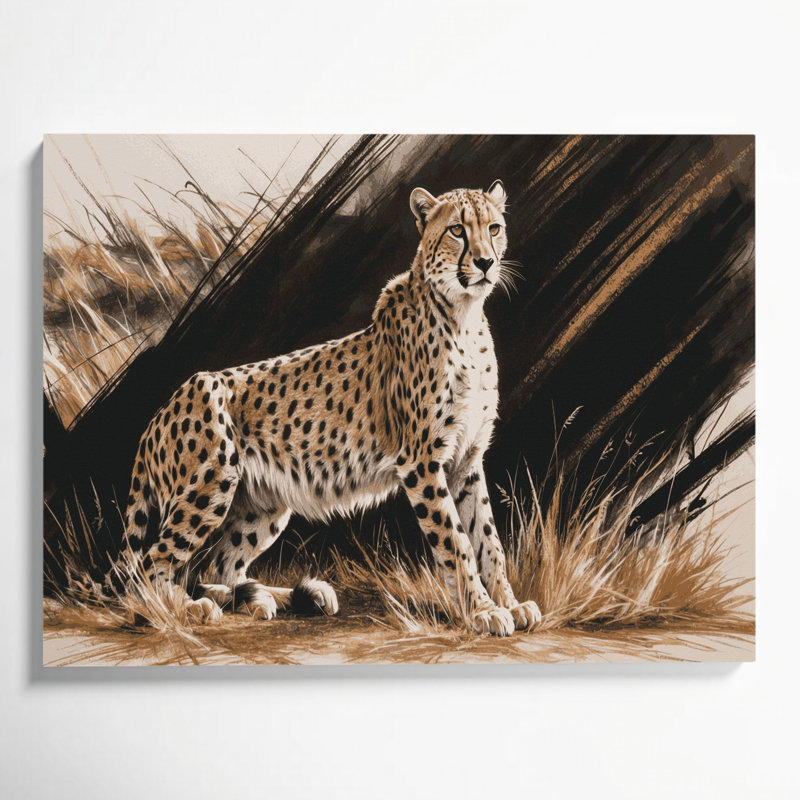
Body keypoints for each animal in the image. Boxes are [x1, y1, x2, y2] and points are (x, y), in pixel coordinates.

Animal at [104, 180, 541, 636]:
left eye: (494, 228)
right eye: (457, 230)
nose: (486, 262)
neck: (464, 316)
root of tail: (158, 414)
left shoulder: (466, 460)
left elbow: (488, 540)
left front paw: (510, 604)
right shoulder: (421, 462)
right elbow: (457, 541)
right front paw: (482, 612)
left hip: (263, 505)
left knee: (219, 566)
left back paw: (279, 597)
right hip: (210, 479)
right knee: (148, 570)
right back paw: (184, 609)